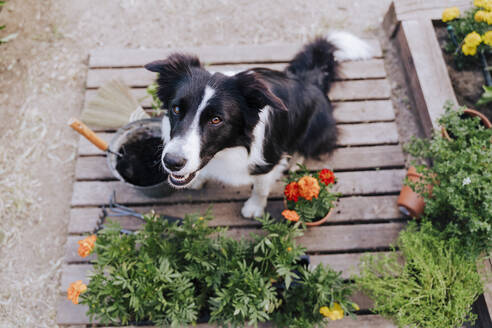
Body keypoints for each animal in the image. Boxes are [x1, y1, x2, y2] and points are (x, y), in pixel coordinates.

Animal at [146, 32, 372, 219]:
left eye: (216, 119)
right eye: (176, 109)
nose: (172, 162)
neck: (228, 150)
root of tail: (312, 79)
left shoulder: (267, 160)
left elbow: (261, 188)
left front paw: (254, 207)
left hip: (317, 130)